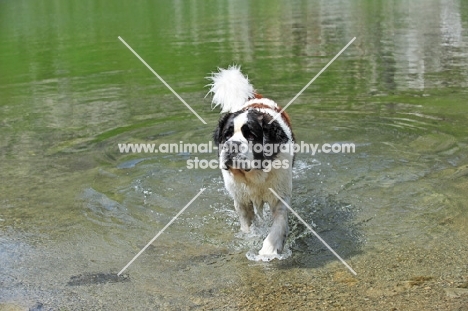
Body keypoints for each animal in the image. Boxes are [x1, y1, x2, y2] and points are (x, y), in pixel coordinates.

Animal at [207, 66, 294, 258]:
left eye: (251, 136)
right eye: (227, 135)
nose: (232, 145)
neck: (255, 174)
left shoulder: (280, 193)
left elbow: (279, 223)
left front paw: (269, 250)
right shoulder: (241, 199)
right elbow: (247, 223)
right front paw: (250, 238)